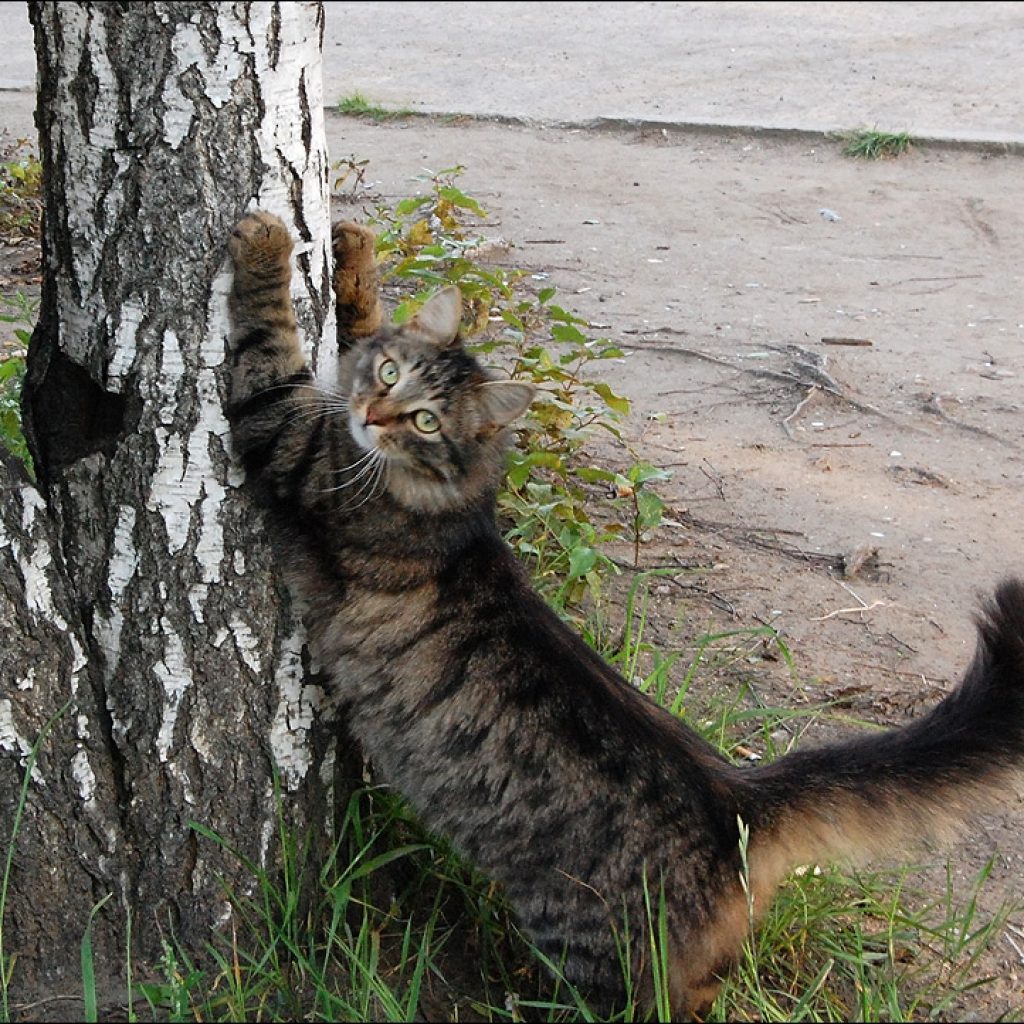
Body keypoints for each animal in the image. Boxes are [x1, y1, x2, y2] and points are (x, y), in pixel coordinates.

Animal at [228, 211, 1024, 1019]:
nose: (371, 414)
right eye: (390, 377)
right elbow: (356, 329)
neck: (457, 498)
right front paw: (354, 256)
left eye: (422, 421)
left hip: (592, 959)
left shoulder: (293, 443)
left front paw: (266, 243)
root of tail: (736, 800)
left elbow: (266, 342)